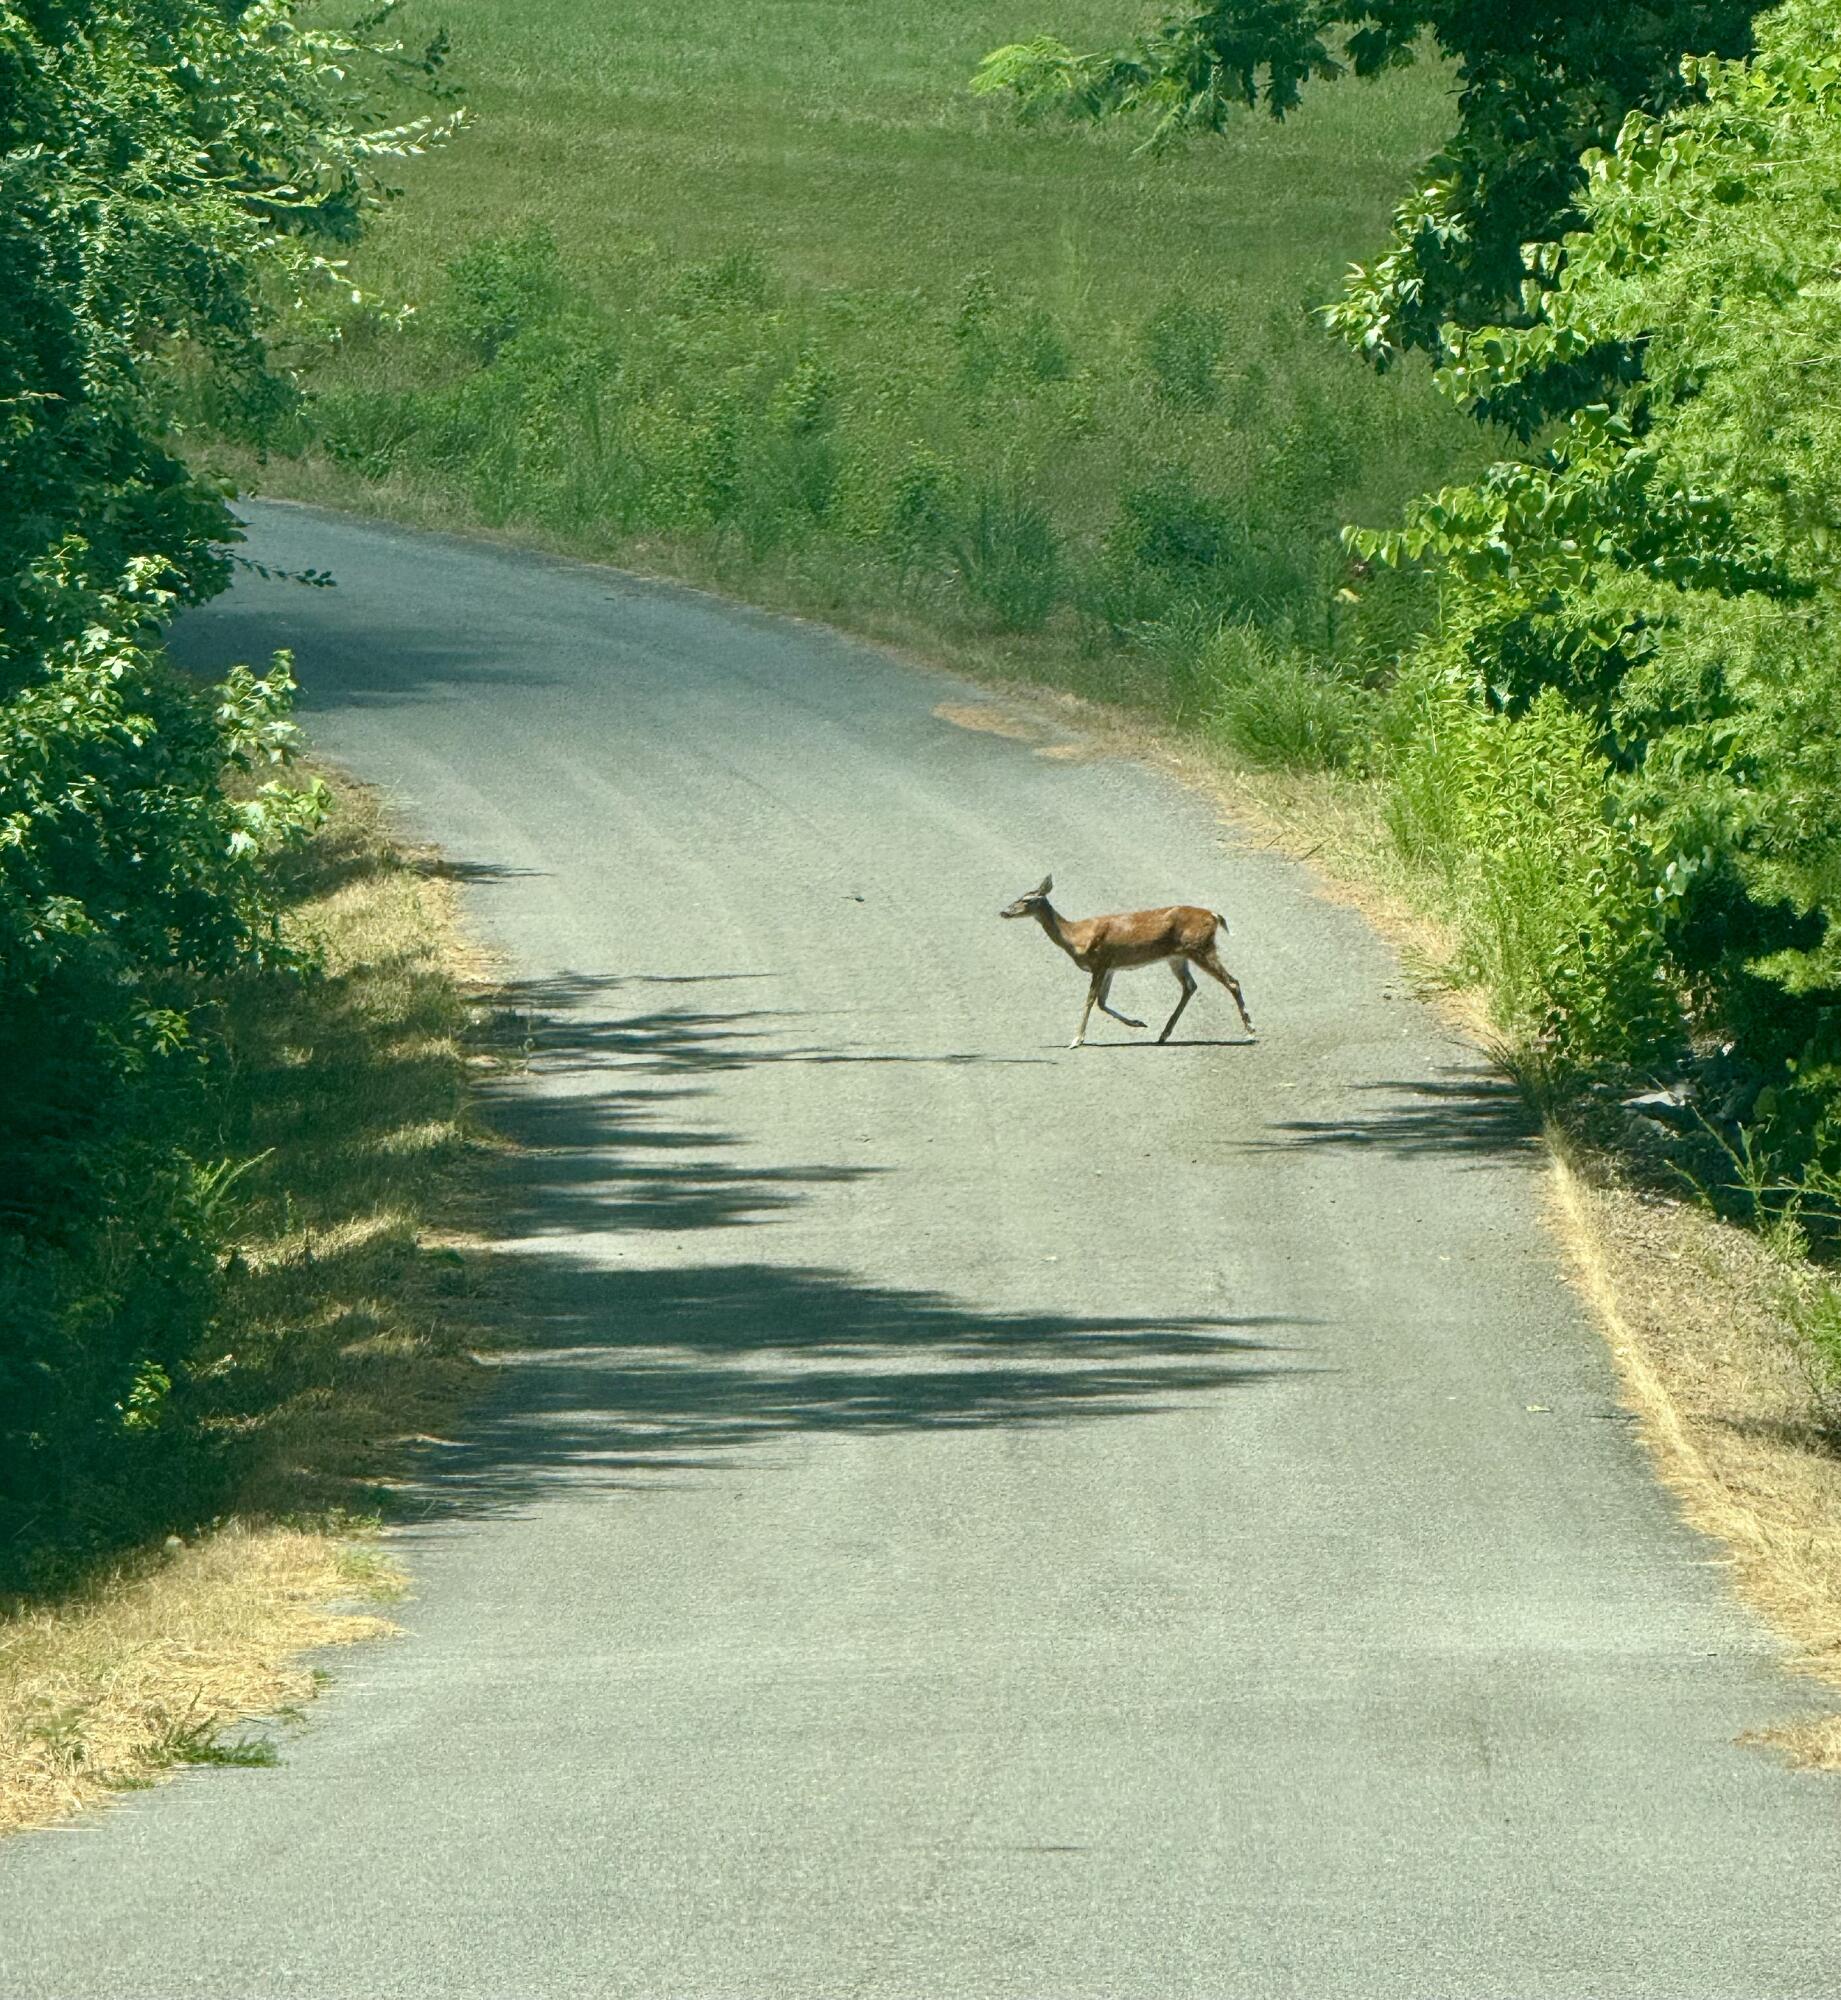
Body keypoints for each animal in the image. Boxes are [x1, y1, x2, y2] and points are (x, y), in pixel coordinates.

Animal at [1008, 884, 1248, 1056]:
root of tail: (1215, 916)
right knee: (1190, 986)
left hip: (1200, 948)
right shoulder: (1110, 967)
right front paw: (1138, 1022)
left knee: (1232, 981)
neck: (1075, 936)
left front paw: (1076, 1040)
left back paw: (1249, 1032)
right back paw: (1163, 1034)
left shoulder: (1100, 961)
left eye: (1028, 900)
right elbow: (1102, 1002)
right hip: (1178, 956)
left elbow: (1090, 1000)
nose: (1005, 911)